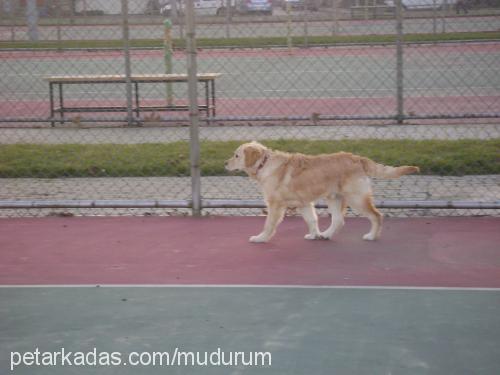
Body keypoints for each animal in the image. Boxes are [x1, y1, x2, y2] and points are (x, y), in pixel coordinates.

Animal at [226, 142, 418, 244]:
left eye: (236, 155)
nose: (224, 163)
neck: (264, 163)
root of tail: (358, 158)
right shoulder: (304, 203)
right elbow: (312, 220)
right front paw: (314, 234)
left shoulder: (275, 205)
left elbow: (269, 224)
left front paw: (261, 238)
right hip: (334, 198)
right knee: (339, 220)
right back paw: (326, 234)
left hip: (356, 198)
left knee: (377, 215)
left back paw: (372, 236)